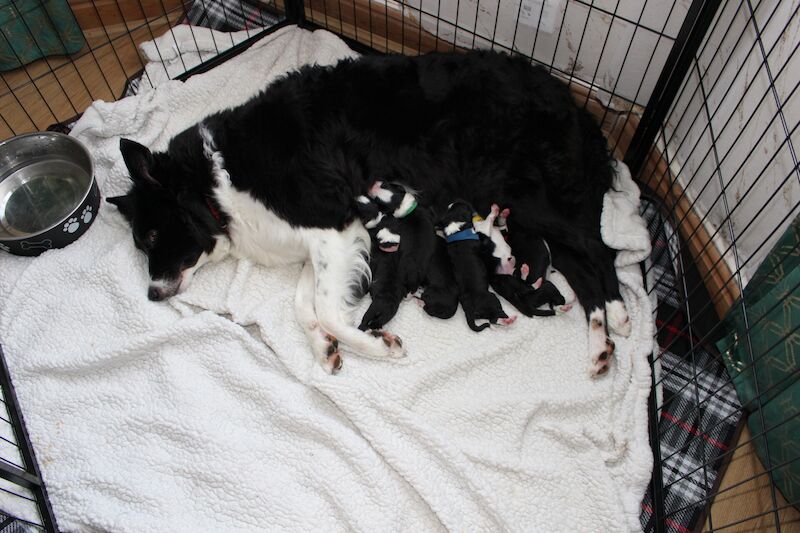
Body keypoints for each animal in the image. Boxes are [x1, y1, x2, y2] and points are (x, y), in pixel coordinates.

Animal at [438, 202, 512, 330]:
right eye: (466, 206)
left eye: (450, 206)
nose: (466, 201)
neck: (456, 229)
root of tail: (469, 311)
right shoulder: (484, 237)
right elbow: (488, 222)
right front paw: (494, 210)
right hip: (492, 298)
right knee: (494, 318)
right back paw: (508, 320)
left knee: (492, 319)